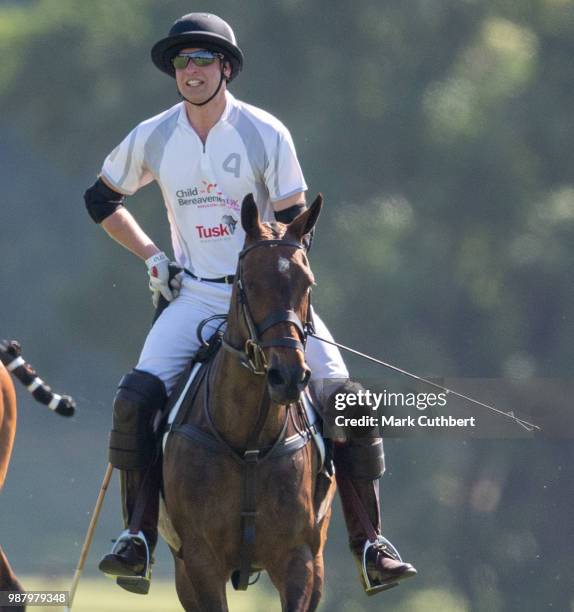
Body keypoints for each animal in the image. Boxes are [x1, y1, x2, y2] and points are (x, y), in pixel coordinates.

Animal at [161, 194, 338, 608]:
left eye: (307, 283)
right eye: (249, 282)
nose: (288, 376)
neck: (250, 439)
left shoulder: (298, 558)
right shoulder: (200, 560)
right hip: (181, 573)